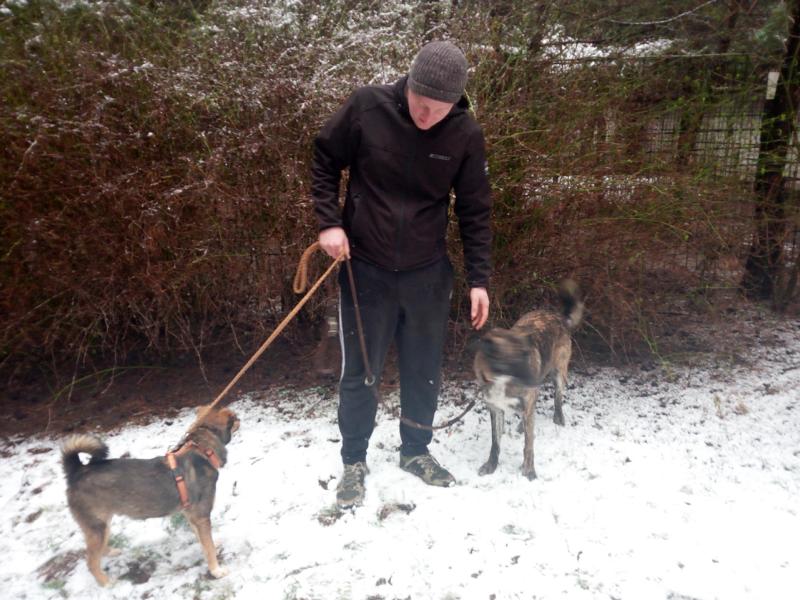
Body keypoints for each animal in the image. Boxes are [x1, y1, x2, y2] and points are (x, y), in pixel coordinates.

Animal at [61, 405, 239, 586]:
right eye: (234, 417)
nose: (239, 418)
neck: (204, 451)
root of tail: (77, 471)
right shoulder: (201, 516)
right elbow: (208, 547)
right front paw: (216, 570)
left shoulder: (192, 515)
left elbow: (203, 540)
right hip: (97, 526)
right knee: (91, 561)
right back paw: (106, 582)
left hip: (101, 525)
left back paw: (110, 552)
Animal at [474, 280, 583, 480]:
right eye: (515, 359)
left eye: (527, 355)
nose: (534, 378)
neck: (501, 381)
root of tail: (558, 316)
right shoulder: (495, 409)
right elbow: (495, 442)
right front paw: (491, 465)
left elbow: (529, 445)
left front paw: (529, 471)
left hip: (559, 372)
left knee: (557, 396)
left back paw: (558, 417)